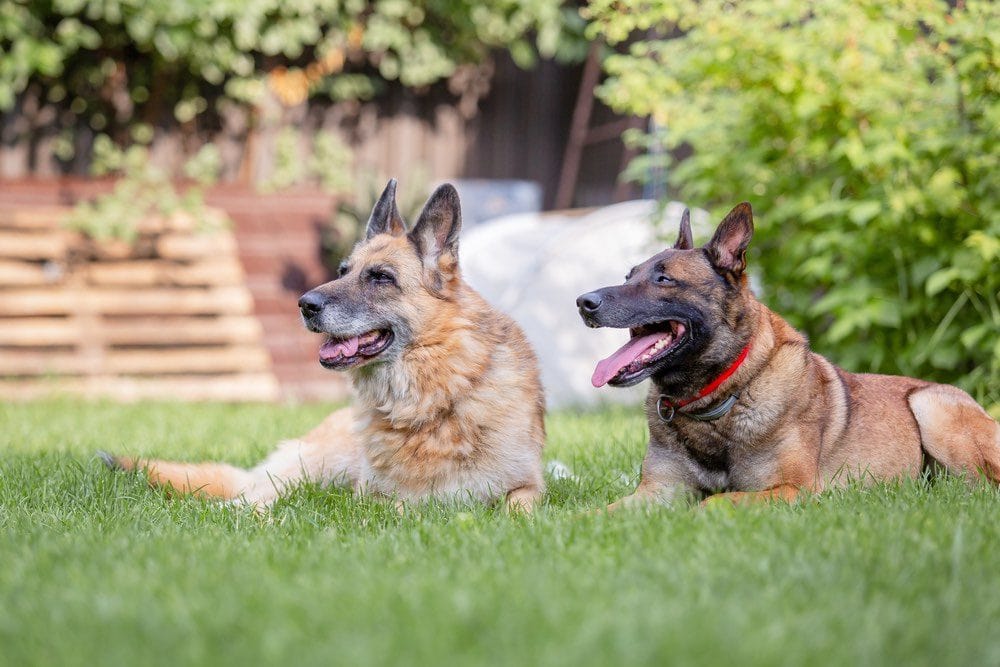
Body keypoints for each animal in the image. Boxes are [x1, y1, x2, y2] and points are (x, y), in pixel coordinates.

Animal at [580, 201, 1000, 508]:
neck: (718, 397)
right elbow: (599, 512)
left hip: (931, 406)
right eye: (629, 276)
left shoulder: (791, 490)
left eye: (663, 279)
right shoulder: (657, 491)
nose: (584, 302)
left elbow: (712, 502)